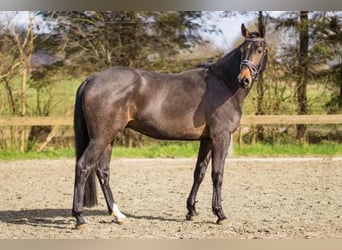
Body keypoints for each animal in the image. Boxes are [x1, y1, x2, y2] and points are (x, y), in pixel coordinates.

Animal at [72, 23, 268, 229]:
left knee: (103, 171)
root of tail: (91, 79)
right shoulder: (220, 137)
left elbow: (199, 172)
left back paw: (118, 215)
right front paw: (220, 214)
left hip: (109, 137)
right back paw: (79, 217)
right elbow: (217, 174)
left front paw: (191, 211)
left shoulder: (207, 139)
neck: (223, 84)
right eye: (242, 51)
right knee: (83, 166)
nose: (243, 79)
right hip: (100, 138)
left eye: (259, 49)